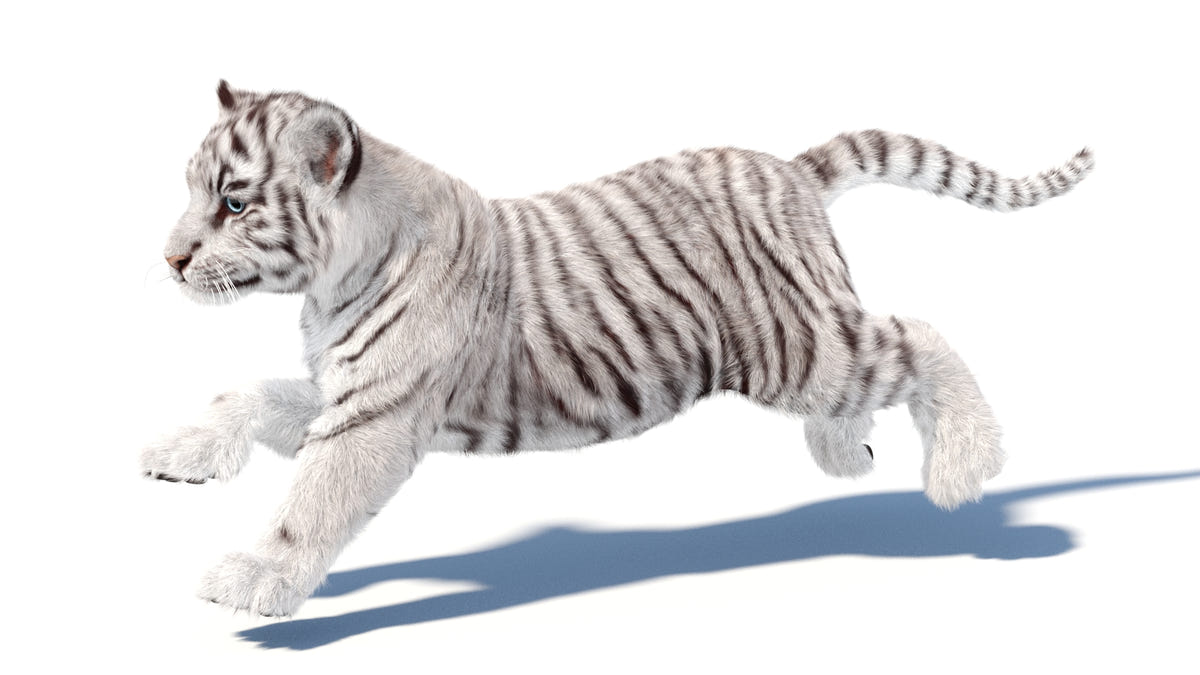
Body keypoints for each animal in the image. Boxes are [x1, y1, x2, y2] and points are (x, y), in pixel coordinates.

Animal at [142, 80, 1094, 617]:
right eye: (191, 191)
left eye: (233, 202)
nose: (170, 258)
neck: (330, 277)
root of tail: (787, 167)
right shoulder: (347, 388)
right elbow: (248, 394)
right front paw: (179, 451)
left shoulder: (375, 413)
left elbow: (311, 503)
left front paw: (251, 578)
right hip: (809, 338)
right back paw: (845, 450)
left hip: (792, 347)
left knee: (920, 337)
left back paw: (964, 465)